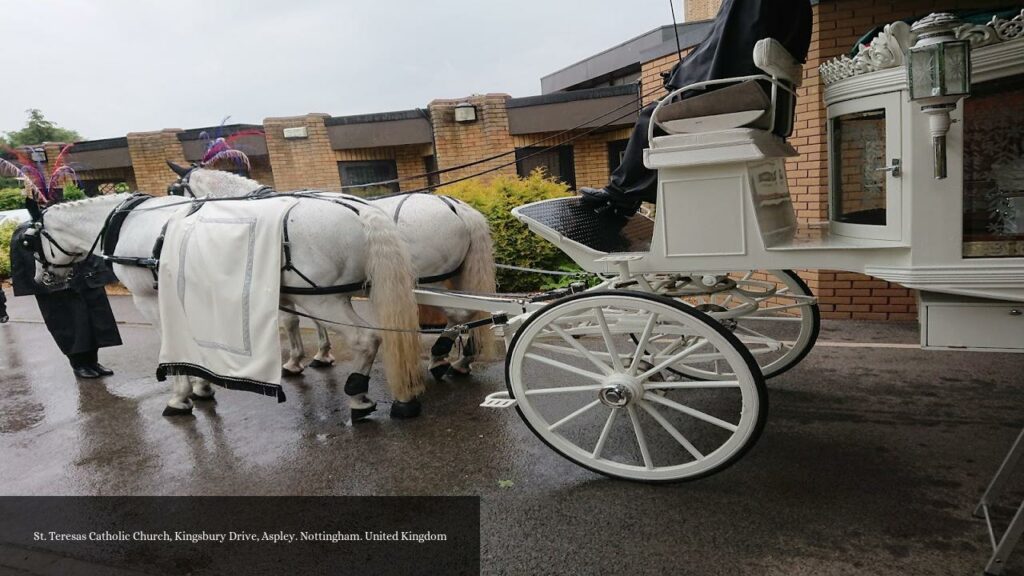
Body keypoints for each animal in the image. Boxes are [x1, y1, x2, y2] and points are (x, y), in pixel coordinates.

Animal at [29, 190, 425, 420]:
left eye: (30, 240)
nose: (40, 279)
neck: (132, 222)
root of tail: (357, 208)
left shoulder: (150, 300)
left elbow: (172, 349)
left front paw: (181, 398)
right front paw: (202, 388)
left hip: (325, 299)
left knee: (367, 339)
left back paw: (360, 398)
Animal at [180, 166, 499, 379]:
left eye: (177, 191)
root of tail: (458, 207)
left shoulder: (294, 290)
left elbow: (291, 321)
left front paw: (295, 360)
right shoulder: (312, 289)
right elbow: (315, 322)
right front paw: (322, 353)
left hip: (435, 282)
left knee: (459, 314)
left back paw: (441, 357)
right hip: (454, 277)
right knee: (469, 313)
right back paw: (459, 360)